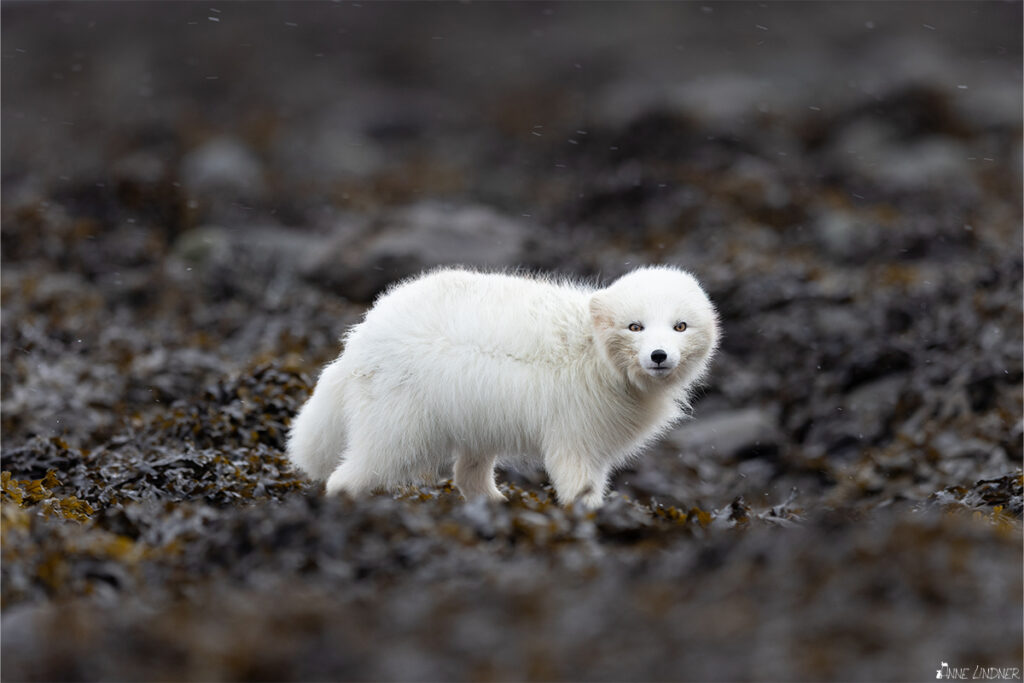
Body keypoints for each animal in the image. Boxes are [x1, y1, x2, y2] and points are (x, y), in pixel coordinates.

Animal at [288, 266, 720, 507]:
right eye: (635, 327)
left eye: (680, 326)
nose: (659, 355)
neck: (595, 355)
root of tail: (360, 337)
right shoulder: (574, 437)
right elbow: (579, 488)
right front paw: (590, 520)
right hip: (400, 431)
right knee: (348, 476)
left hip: (477, 425)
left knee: (466, 476)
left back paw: (497, 505)